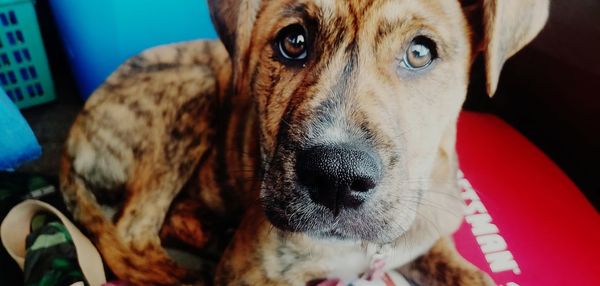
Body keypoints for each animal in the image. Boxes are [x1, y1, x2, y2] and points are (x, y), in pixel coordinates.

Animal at [59, 0, 548, 284]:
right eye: (293, 41)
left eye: (420, 52)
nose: (336, 178)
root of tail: (75, 132)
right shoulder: (250, 273)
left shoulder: (424, 231)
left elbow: (471, 274)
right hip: (193, 90)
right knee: (133, 231)